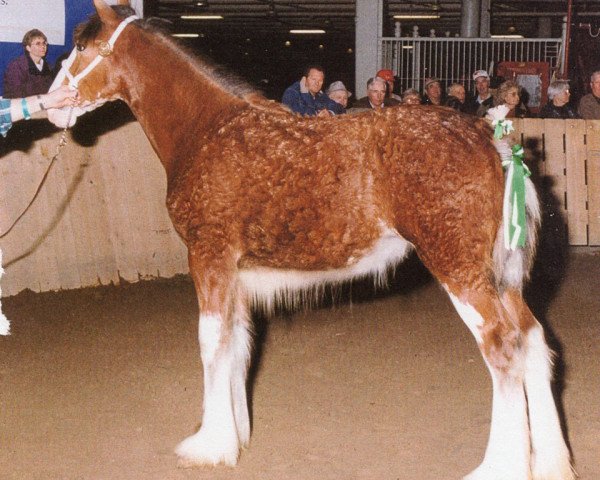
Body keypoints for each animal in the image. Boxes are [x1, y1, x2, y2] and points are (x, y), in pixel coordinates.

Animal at [47, 1, 572, 478]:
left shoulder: (208, 257)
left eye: (81, 47)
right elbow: (237, 344)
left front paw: (209, 445)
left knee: (502, 347)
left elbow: (210, 342)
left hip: (460, 270)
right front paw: (236, 435)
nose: (50, 106)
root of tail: (490, 136)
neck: (208, 128)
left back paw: (500, 466)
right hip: (499, 277)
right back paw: (550, 461)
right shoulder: (236, 273)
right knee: (532, 340)